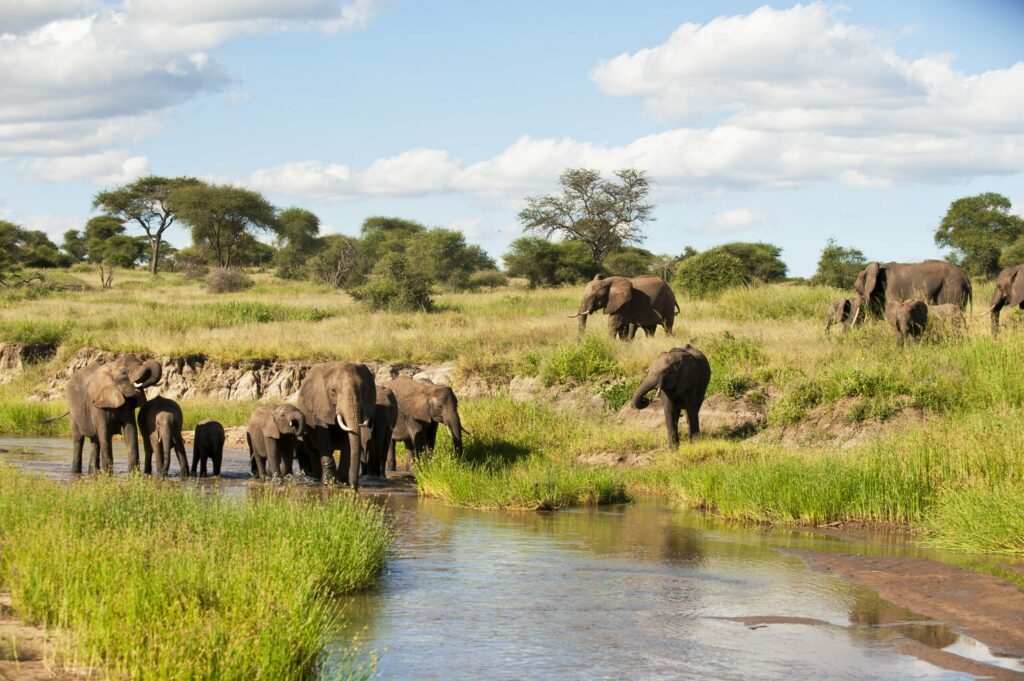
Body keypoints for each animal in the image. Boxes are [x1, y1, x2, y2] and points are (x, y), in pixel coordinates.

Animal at [296, 360, 376, 489]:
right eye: (333, 391)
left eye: (364, 389)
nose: (354, 487)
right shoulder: (320, 406)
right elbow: (323, 437)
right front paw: (329, 482)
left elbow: (347, 439)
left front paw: (343, 482)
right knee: (313, 451)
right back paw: (316, 479)